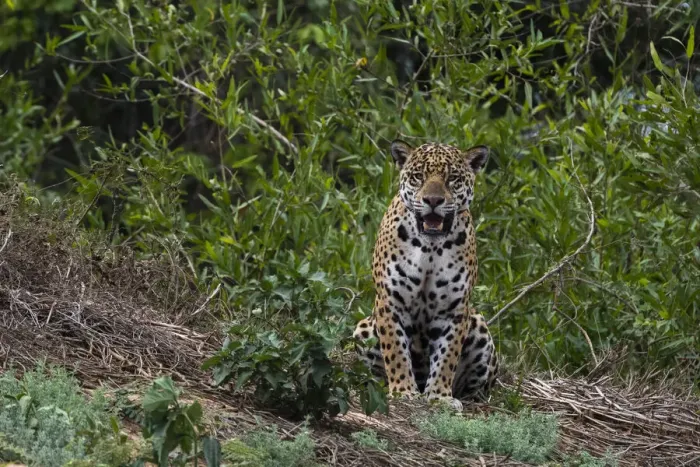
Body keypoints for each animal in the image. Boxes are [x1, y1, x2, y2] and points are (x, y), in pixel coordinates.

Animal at [353, 139, 499, 410]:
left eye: (452, 178)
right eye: (418, 177)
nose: (433, 200)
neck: (431, 247)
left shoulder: (454, 309)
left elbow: (447, 356)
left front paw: (439, 396)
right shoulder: (390, 301)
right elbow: (396, 351)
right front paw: (403, 391)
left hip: (479, 326)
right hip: (363, 328)